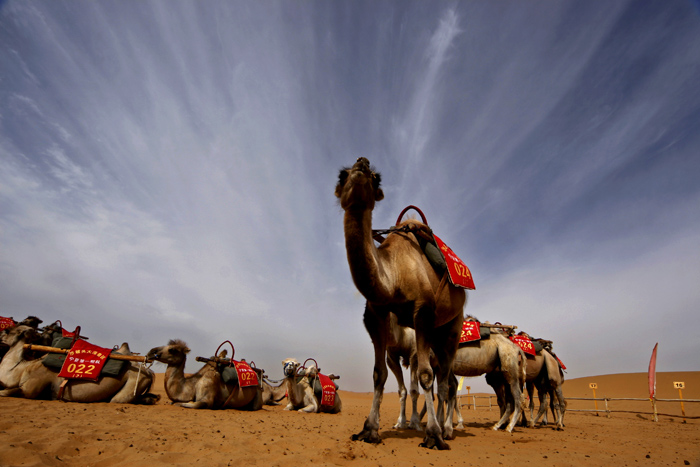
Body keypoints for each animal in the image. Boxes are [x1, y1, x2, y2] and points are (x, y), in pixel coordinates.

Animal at [0, 326, 159, 406]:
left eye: (8, 331)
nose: (1, 333)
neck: (21, 369)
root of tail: (149, 371)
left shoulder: (31, 388)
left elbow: (4, 392)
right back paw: (152, 398)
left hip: (135, 380)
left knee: (117, 399)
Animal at [334, 157, 464, 450]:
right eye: (342, 175)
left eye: (377, 178)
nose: (362, 163)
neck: (393, 276)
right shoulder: (376, 315)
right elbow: (378, 374)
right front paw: (369, 429)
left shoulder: (422, 313)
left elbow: (424, 378)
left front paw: (431, 434)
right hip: (437, 335)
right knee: (444, 380)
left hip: (453, 327)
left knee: (445, 383)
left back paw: (446, 430)